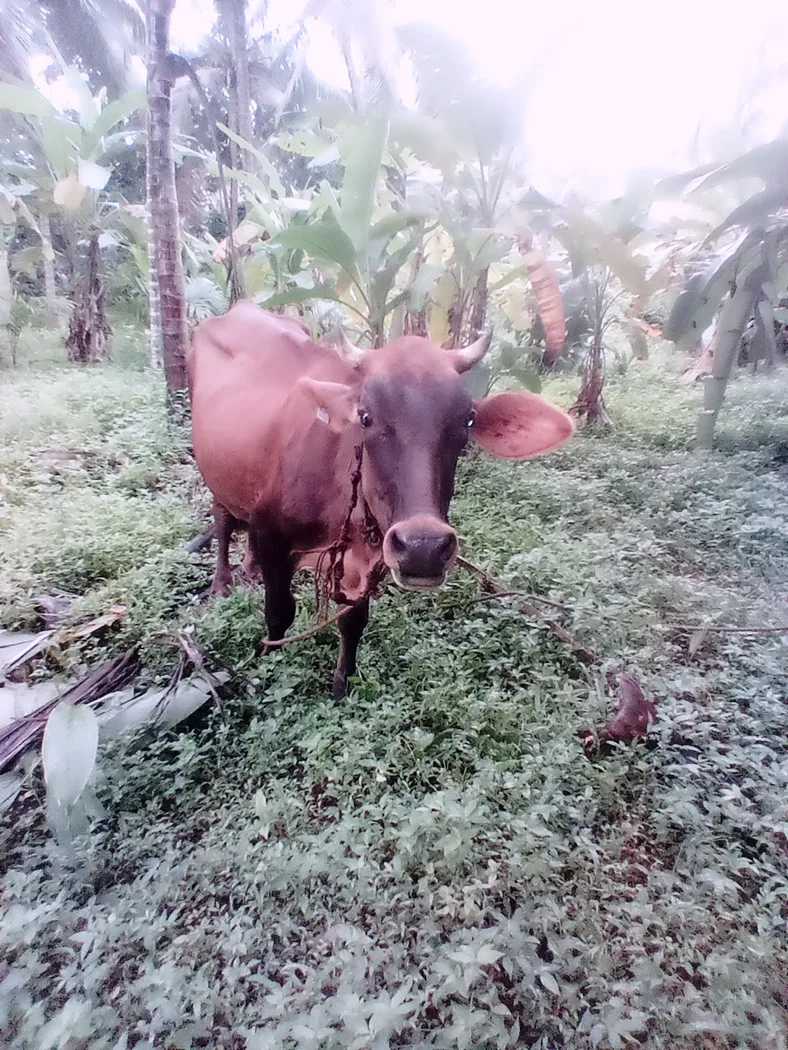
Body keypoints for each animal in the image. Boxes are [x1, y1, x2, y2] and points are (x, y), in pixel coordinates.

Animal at [188, 301, 574, 698]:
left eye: (467, 420)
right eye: (366, 417)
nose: (423, 547)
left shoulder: (369, 558)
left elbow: (353, 622)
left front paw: (341, 684)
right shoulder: (271, 534)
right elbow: (279, 612)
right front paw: (266, 659)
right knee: (222, 520)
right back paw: (221, 583)